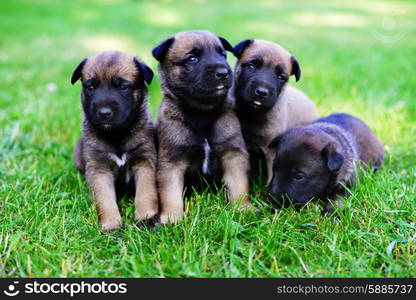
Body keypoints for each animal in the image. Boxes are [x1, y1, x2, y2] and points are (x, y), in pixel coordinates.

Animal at [71, 50, 158, 231]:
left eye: (123, 86)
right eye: (91, 87)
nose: (104, 113)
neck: (116, 135)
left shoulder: (144, 162)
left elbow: (146, 192)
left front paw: (146, 217)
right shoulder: (99, 169)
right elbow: (105, 199)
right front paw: (111, 224)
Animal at [153, 30, 254, 224]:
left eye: (223, 55)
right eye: (192, 59)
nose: (223, 72)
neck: (202, 113)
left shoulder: (233, 154)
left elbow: (239, 185)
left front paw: (243, 208)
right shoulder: (172, 161)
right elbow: (170, 193)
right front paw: (172, 217)